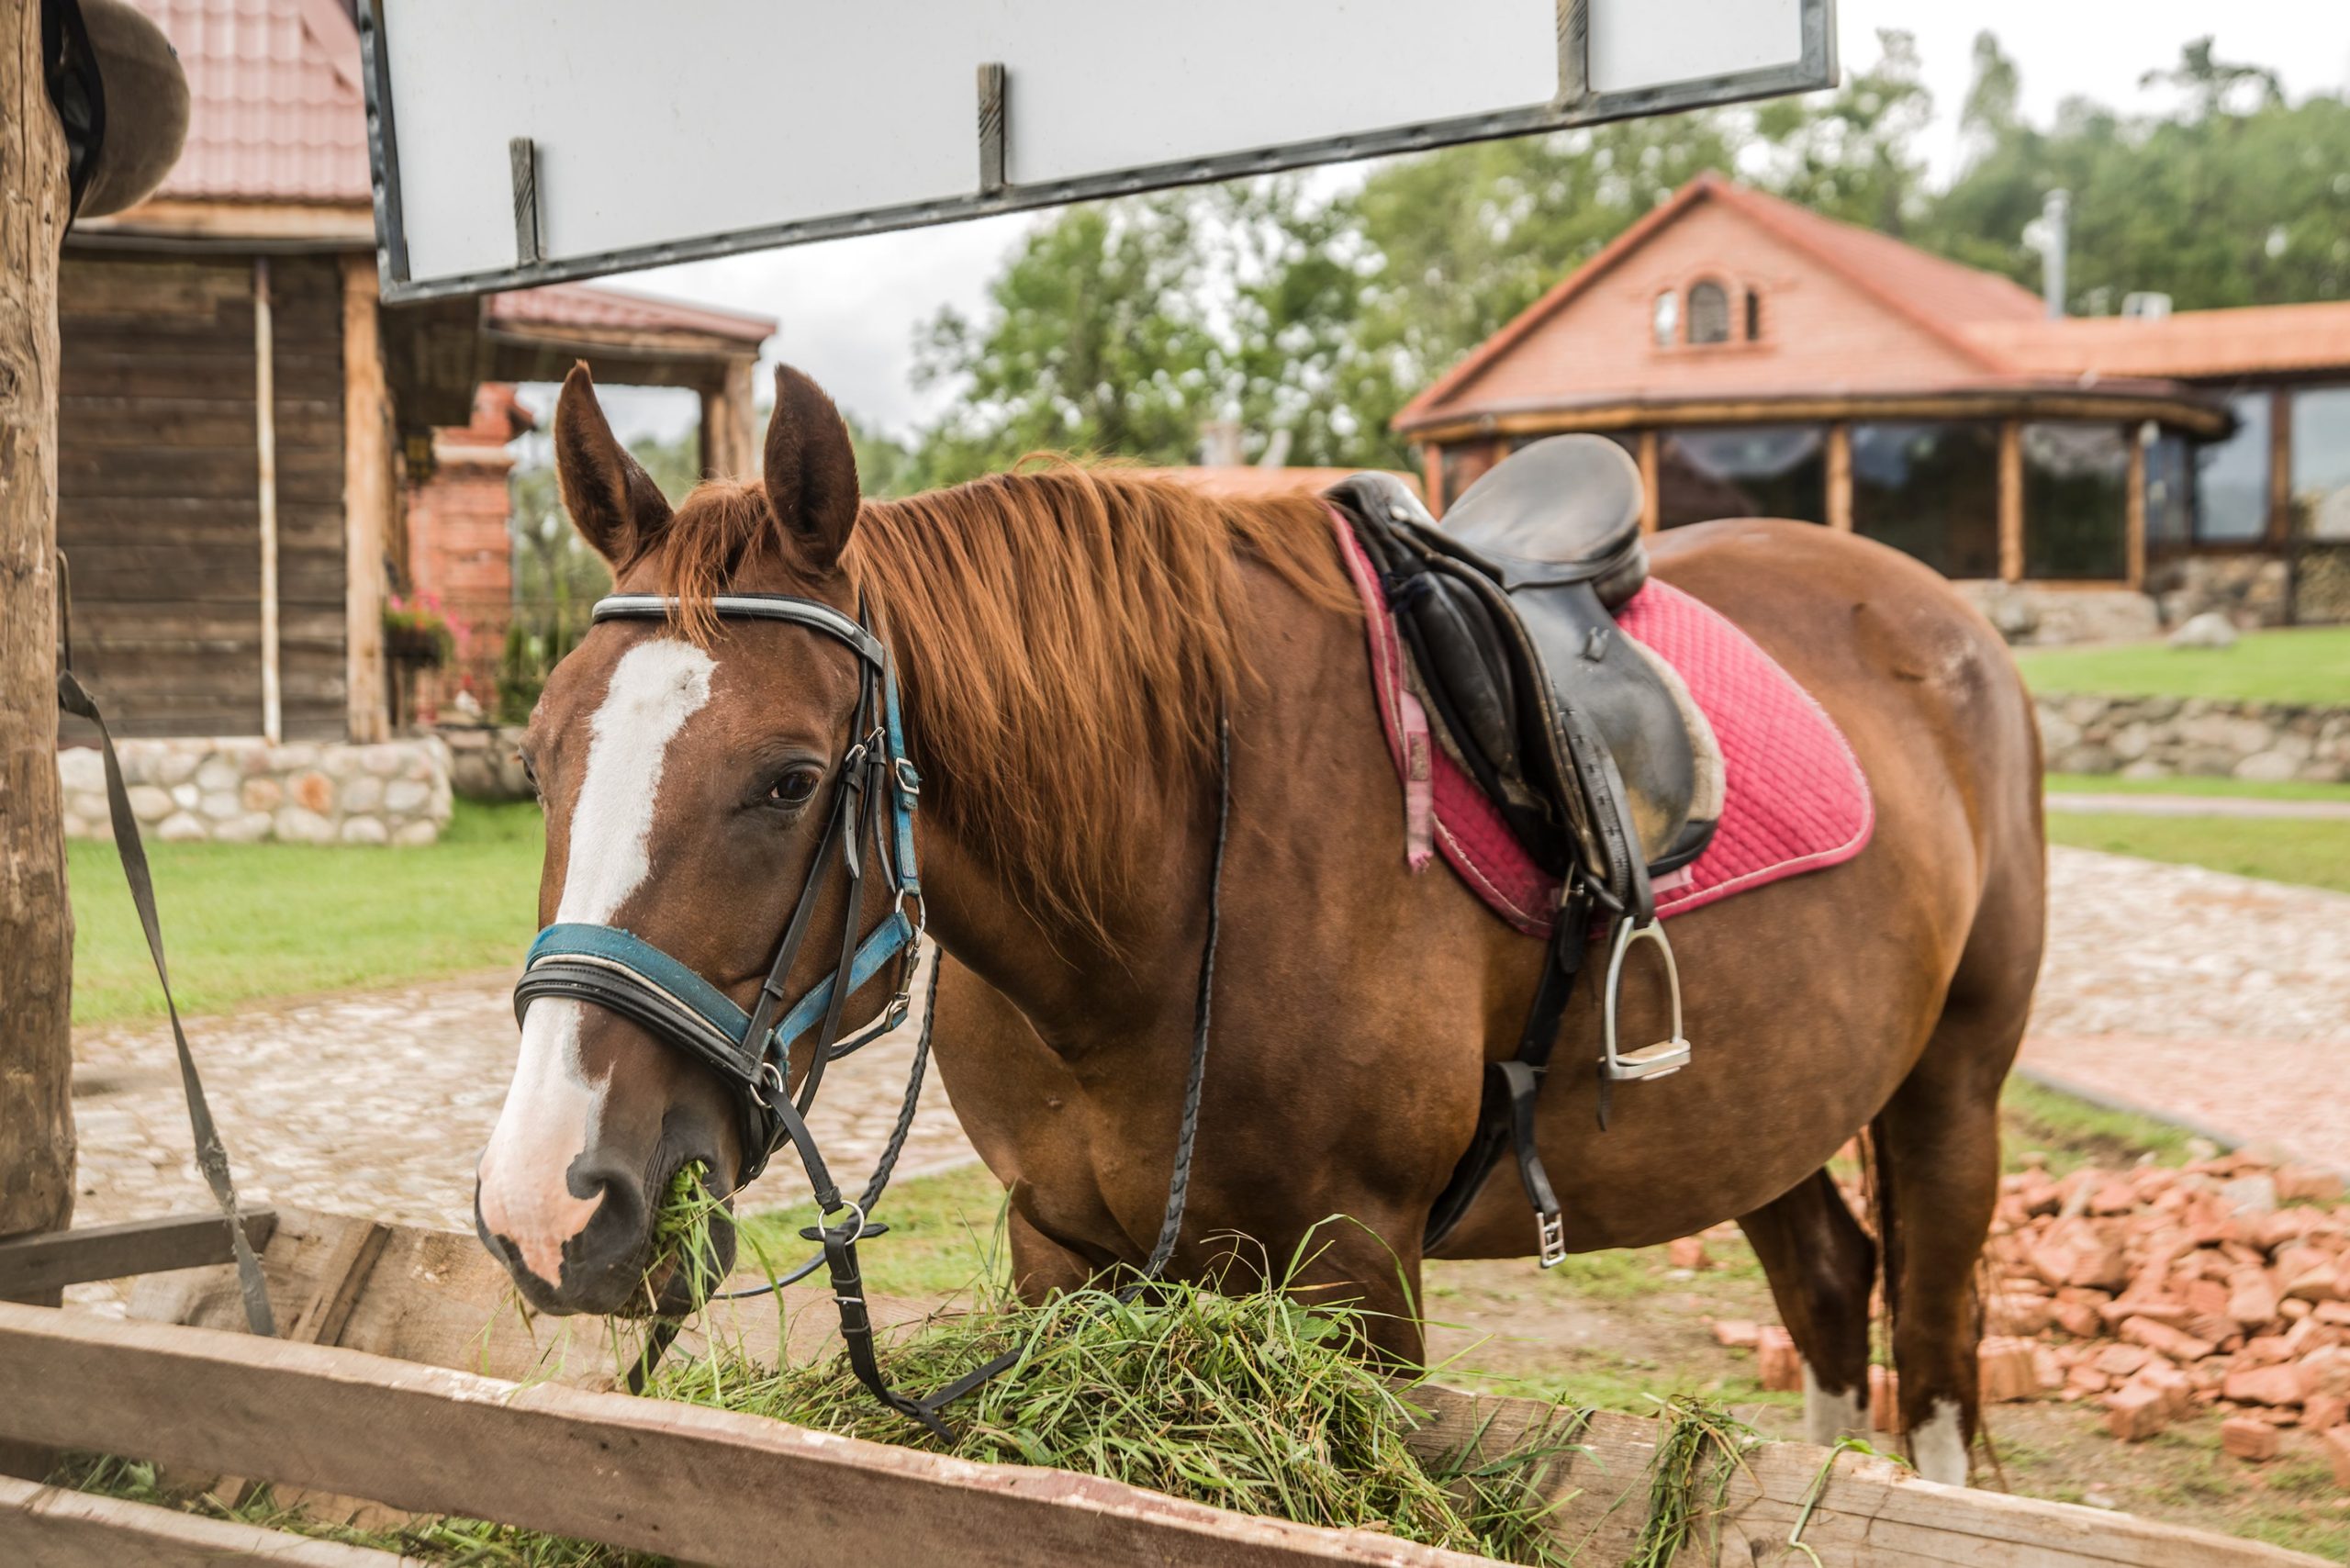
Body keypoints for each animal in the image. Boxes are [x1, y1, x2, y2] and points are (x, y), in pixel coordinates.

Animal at [472, 364, 2040, 1485]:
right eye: (538, 758)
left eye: (792, 779)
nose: (550, 1202)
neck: (1147, 926)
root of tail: (1938, 614)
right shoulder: (1060, 1253)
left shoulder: (1359, 1275)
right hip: (1772, 1105)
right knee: (1832, 1294)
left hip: (1951, 1094)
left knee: (1934, 1363)